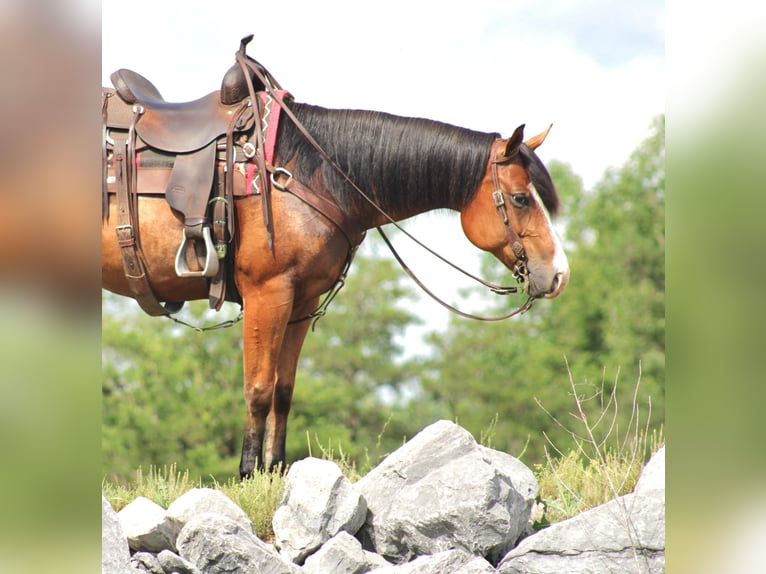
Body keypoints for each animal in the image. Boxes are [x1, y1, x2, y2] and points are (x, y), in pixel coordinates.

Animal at [102, 55, 569, 477]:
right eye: (521, 198)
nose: (558, 273)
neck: (309, 172)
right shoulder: (267, 292)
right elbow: (258, 388)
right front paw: (248, 475)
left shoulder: (301, 300)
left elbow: (283, 390)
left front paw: (275, 470)